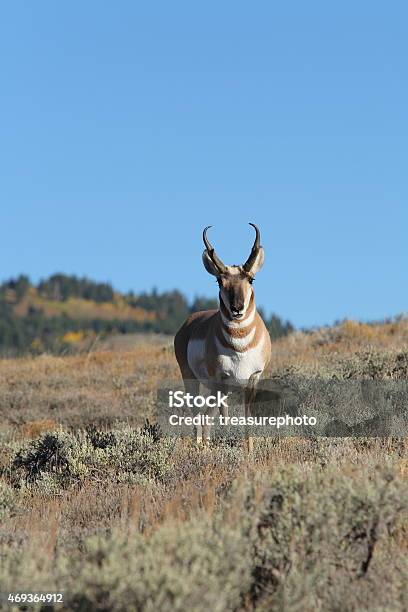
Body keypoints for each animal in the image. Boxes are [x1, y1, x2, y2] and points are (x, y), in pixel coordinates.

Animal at [173, 225, 270, 450]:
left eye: (251, 279)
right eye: (219, 280)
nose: (237, 308)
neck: (240, 346)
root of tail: (190, 321)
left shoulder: (253, 379)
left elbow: (247, 418)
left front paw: (249, 452)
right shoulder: (218, 379)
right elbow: (207, 418)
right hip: (193, 379)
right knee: (198, 414)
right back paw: (200, 445)